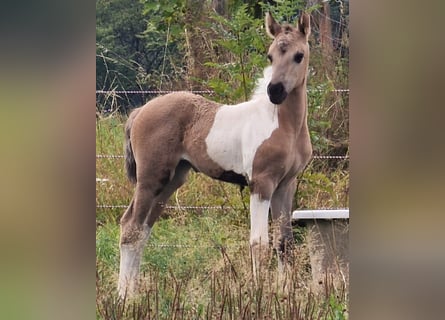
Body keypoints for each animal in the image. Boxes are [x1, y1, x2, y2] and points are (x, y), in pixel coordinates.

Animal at [118, 12, 312, 298]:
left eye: (299, 55)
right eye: (270, 56)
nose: (274, 91)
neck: (284, 124)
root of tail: (140, 110)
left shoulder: (286, 185)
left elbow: (284, 242)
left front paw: (285, 294)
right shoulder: (261, 183)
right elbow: (259, 242)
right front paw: (259, 295)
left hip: (171, 181)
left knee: (142, 230)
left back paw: (134, 293)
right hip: (151, 178)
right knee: (130, 227)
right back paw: (124, 297)